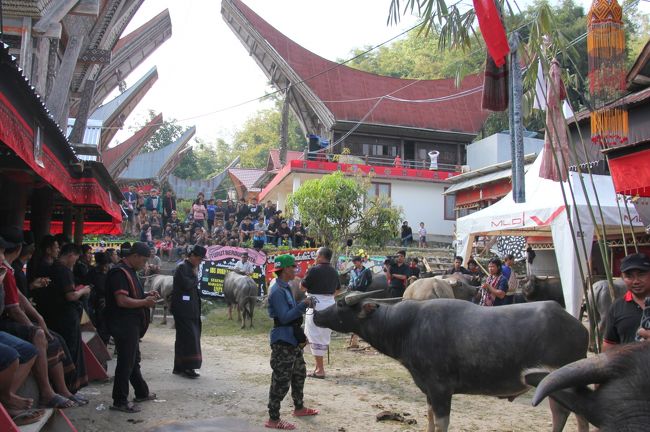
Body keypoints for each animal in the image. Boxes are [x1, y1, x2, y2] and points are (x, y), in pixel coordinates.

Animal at [312, 292, 588, 430]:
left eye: (339, 304)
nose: (316, 314)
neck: (407, 327)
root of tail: (580, 328)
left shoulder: (441, 390)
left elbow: (441, 422)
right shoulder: (428, 391)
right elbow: (430, 418)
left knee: (564, 415)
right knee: (579, 415)